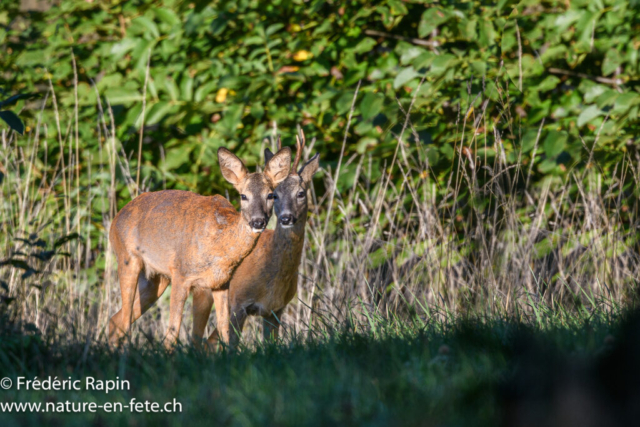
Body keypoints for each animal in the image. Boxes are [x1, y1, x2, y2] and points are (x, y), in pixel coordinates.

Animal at [107, 145, 292, 350]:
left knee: (116, 320)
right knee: (124, 321)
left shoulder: (220, 284)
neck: (220, 245)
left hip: (156, 278)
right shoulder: (181, 274)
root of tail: (116, 218)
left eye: (270, 195)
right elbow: (172, 333)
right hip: (127, 258)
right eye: (243, 196)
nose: (258, 221)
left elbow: (224, 330)